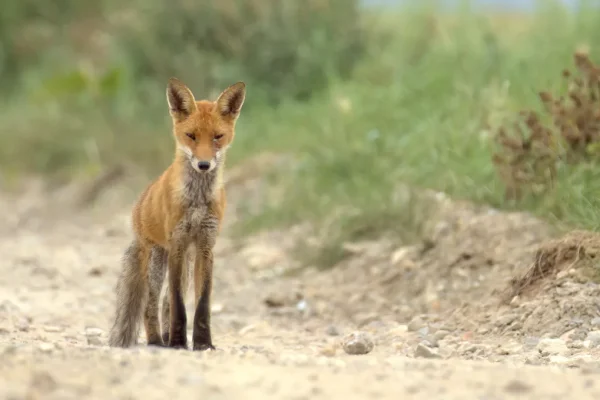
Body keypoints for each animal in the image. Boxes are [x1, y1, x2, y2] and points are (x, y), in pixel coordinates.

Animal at [108, 77, 246, 350]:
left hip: (186, 263)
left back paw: (166, 336)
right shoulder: (178, 244)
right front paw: (179, 342)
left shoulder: (205, 246)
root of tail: (140, 203)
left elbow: (201, 305)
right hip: (157, 260)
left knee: (164, 304)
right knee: (151, 305)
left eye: (218, 137)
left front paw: (203, 344)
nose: (203, 165)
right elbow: (179, 306)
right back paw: (158, 341)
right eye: (191, 136)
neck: (197, 200)